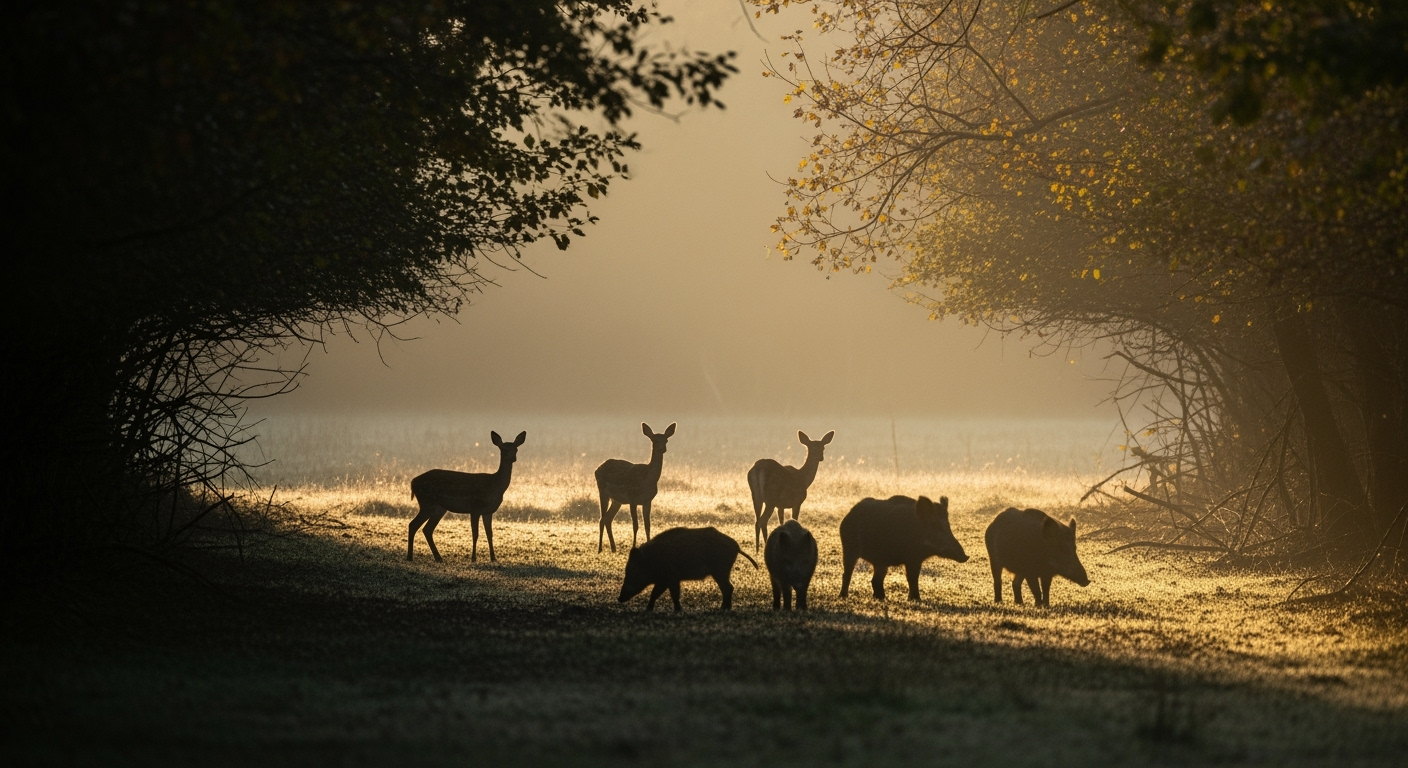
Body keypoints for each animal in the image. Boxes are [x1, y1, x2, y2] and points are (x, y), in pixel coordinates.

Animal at [407, 430, 526, 563]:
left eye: (516, 449)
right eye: (504, 449)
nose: (513, 458)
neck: (495, 485)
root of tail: (413, 481)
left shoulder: (488, 511)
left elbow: (489, 534)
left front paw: (493, 558)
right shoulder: (475, 508)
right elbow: (475, 534)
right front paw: (473, 558)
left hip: (439, 507)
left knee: (427, 529)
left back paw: (438, 558)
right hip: (427, 502)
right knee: (413, 525)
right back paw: (410, 557)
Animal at [595, 422, 676, 553]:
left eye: (666, 440)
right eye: (653, 440)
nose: (662, 449)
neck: (648, 479)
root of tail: (597, 469)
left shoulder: (647, 501)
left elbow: (647, 525)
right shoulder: (632, 498)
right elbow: (635, 525)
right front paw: (633, 546)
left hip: (617, 500)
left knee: (608, 519)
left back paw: (613, 548)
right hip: (603, 492)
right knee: (602, 519)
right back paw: (600, 548)